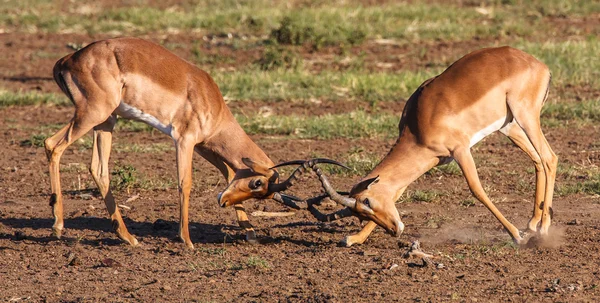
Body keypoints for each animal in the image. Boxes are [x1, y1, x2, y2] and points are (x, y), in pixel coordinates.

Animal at [45, 36, 342, 249]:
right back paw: (58, 226)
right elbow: (185, 183)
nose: (223, 202)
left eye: (262, 192)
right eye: (257, 183)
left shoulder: (204, 146)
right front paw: (187, 240)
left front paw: (251, 233)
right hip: (92, 114)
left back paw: (128, 238)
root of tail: (68, 59)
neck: (210, 99)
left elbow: (229, 173)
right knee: (52, 145)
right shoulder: (184, 139)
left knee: (98, 168)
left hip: (107, 121)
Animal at [308, 47, 556, 247]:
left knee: (549, 158)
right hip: (509, 127)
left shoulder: (460, 150)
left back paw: (543, 229)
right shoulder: (432, 160)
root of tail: (539, 65)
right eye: (361, 215)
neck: (418, 126)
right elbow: (398, 191)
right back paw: (533, 223)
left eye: (367, 201)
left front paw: (516, 236)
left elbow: (477, 190)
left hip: (526, 117)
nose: (395, 230)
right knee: (537, 160)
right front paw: (354, 238)